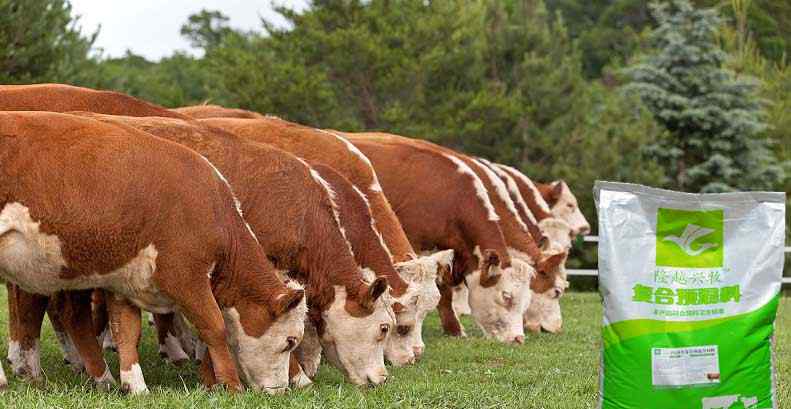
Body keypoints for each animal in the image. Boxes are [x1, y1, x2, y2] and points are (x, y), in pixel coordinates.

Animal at [0, 111, 308, 392]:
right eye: (290, 341)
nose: (280, 390)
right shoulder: (185, 276)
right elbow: (215, 327)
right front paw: (232, 387)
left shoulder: (124, 281)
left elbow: (126, 332)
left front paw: (136, 387)